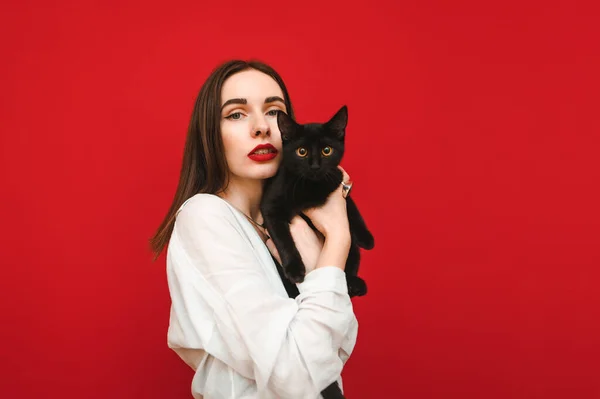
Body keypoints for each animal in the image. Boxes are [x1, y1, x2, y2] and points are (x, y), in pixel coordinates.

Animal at [260, 104, 372, 298]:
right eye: (301, 152)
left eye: (326, 150)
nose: (315, 166)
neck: (311, 187)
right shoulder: (271, 207)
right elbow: (283, 240)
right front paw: (295, 270)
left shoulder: (338, 185)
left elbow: (352, 209)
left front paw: (366, 237)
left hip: (352, 250)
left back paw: (354, 284)